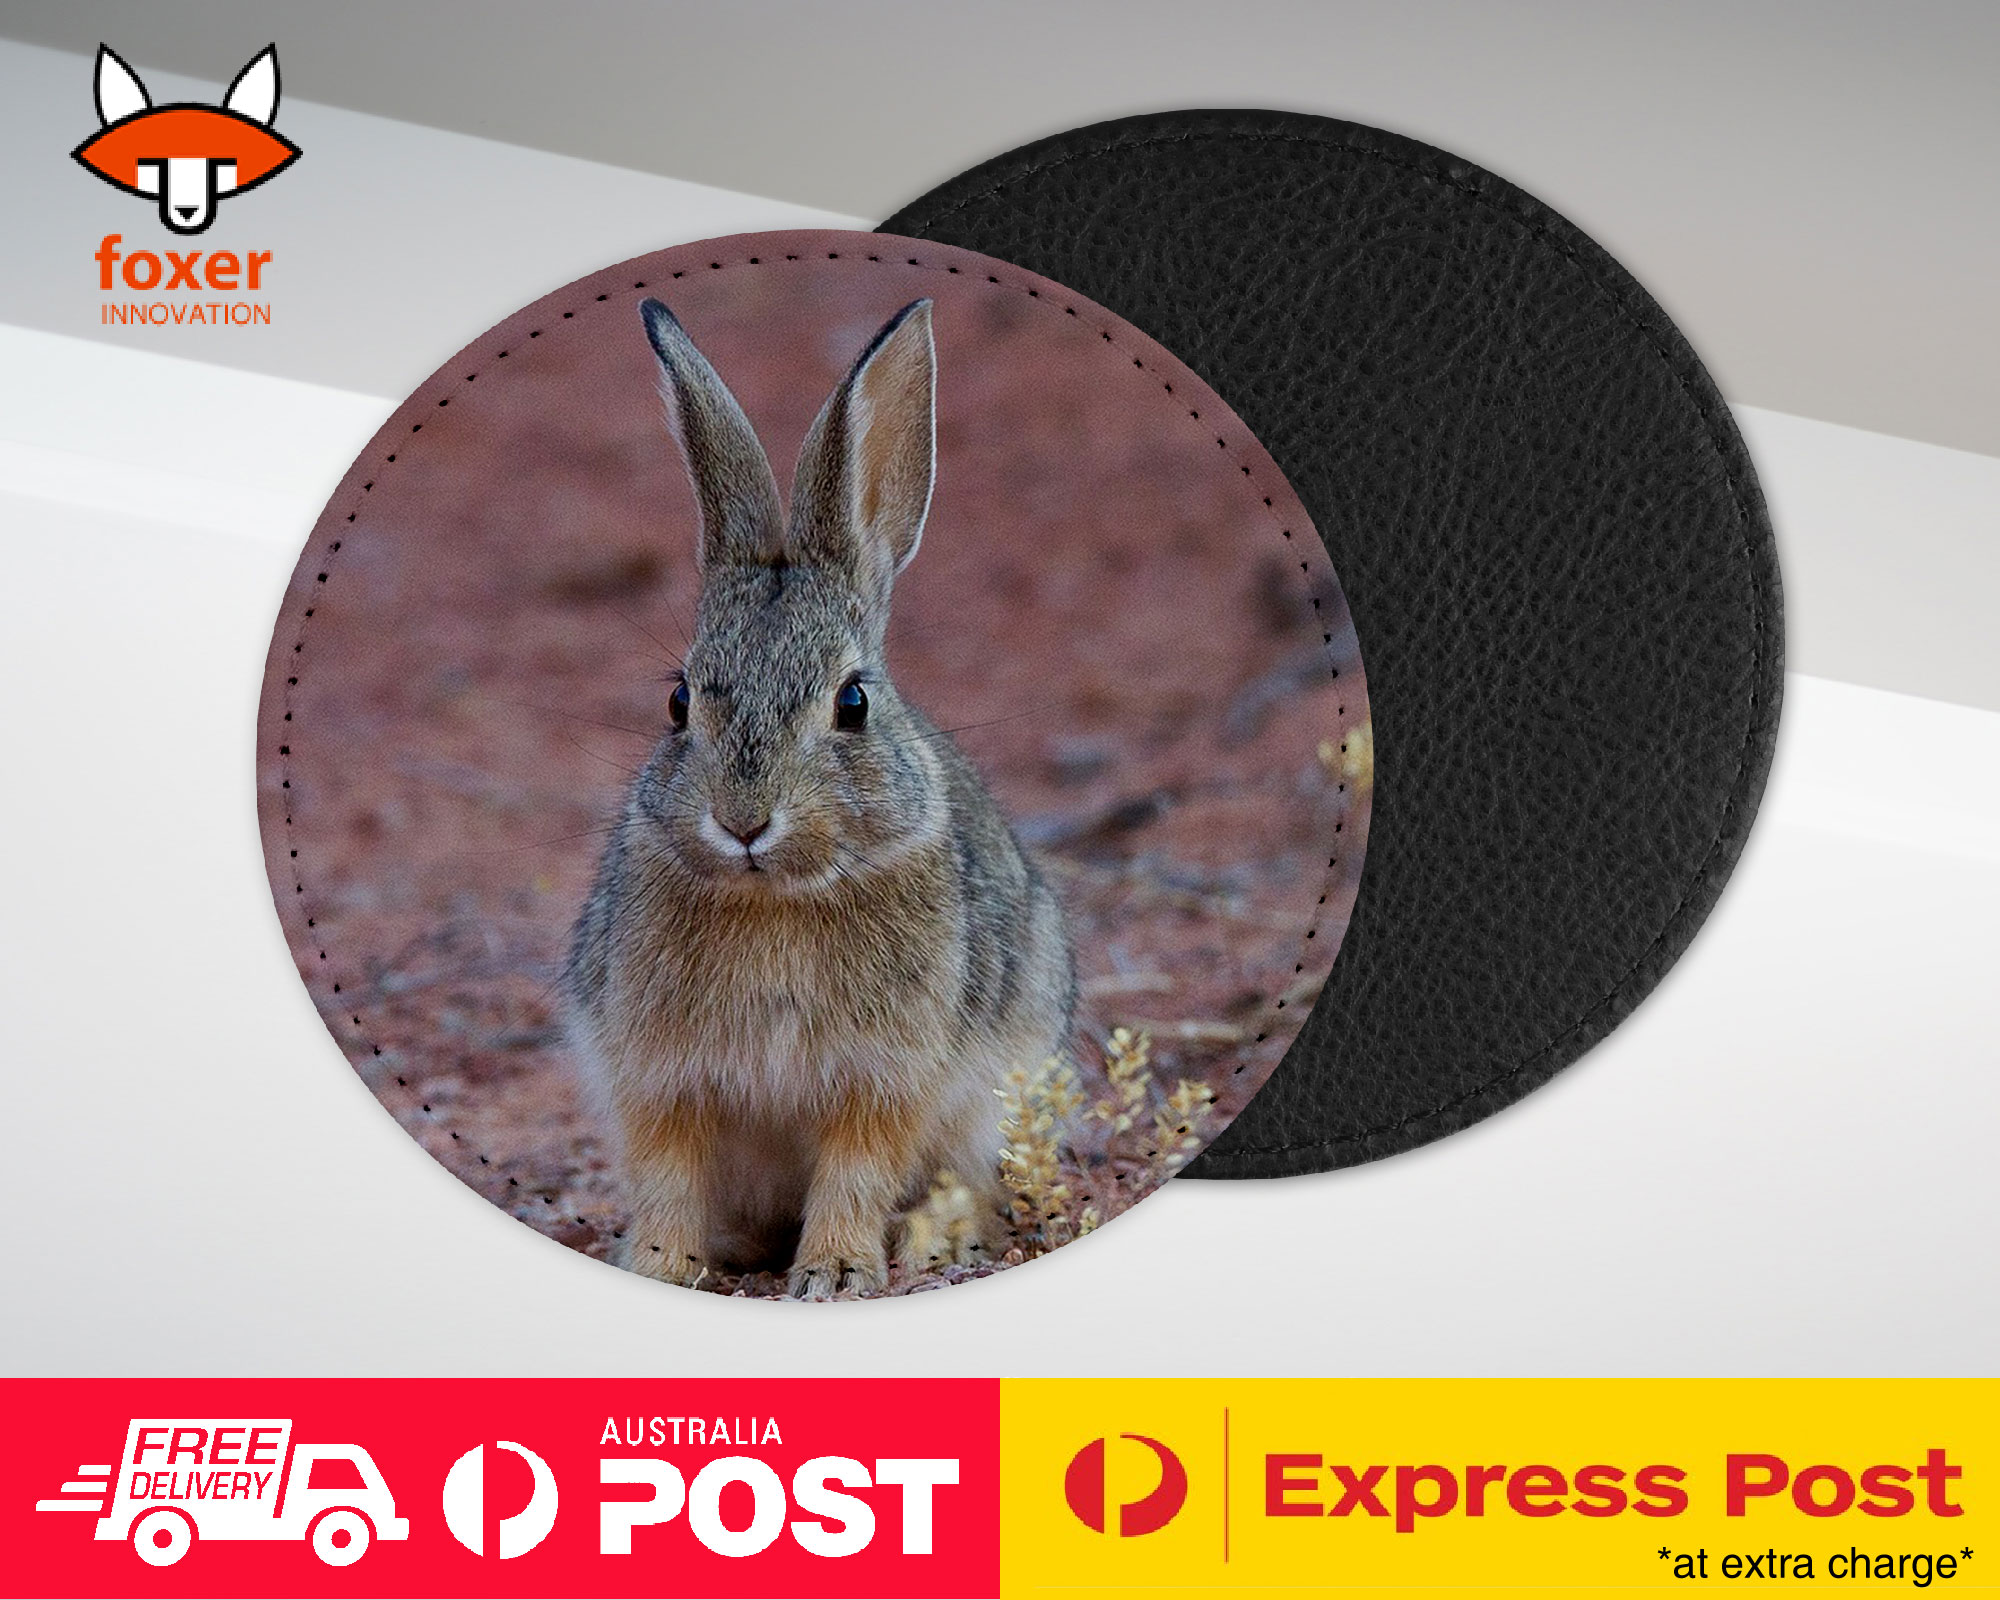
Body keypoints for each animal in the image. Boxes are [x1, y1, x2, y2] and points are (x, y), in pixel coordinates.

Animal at [564, 296, 1076, 1299]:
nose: (743, 822)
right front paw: (659, 1265)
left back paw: (937, 1242)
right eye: (678, 701)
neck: (778, 897)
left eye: (853, 704)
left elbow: (856, 1169)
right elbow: (667, 1170)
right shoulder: (657, 1074)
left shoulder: (885, 1078)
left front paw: (836, 1272)